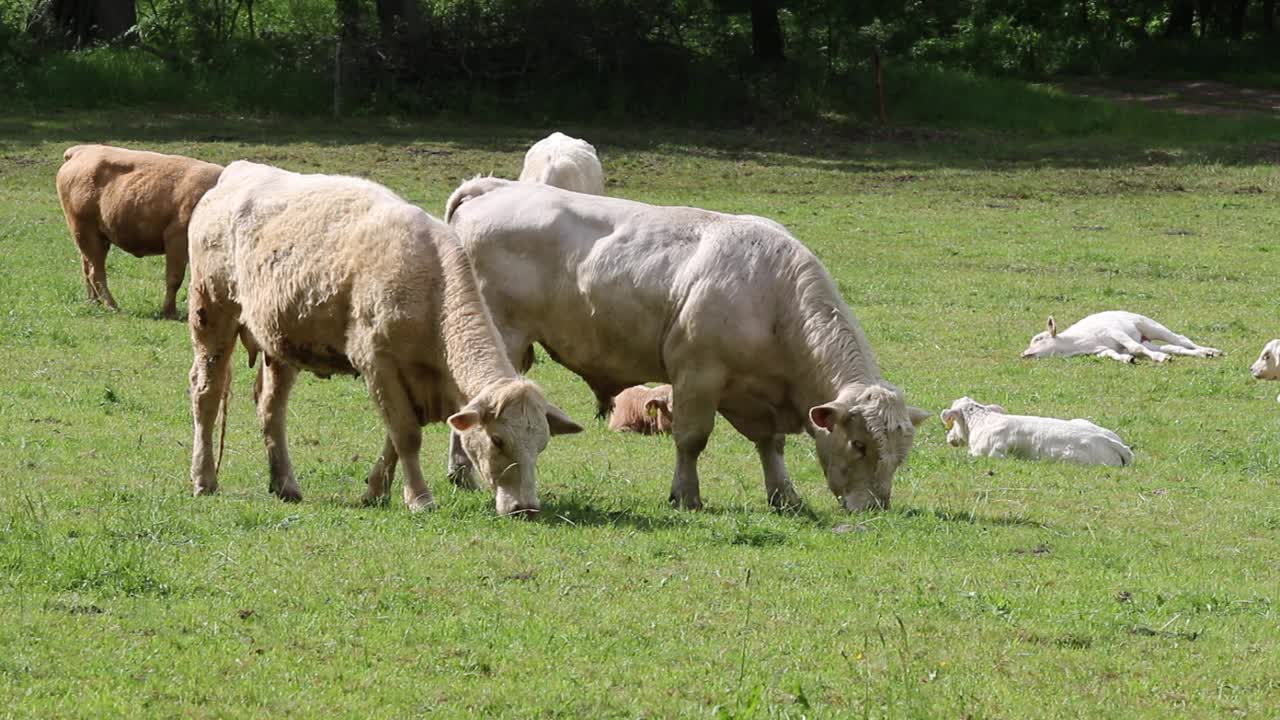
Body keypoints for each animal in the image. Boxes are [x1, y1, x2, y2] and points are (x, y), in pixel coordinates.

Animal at [185, 161, 581, 515]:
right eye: (498, 439)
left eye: (541, 444)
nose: (525, 508)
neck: (431, 286)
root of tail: (236, 171)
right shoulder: (378, 364)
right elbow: (406, 434)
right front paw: (420, 499)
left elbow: (394, 437)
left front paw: (377, 491)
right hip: (212, 313)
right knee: (206, 393)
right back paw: (204, 479)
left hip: (279, 342)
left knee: (271, 407)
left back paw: (285, 484)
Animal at [445, 176, 926, 509]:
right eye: (859, 445)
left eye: (901, 455)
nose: (877, 508)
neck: (772, 296)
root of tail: (492, 186)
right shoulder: (697, 373)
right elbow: (692, 439)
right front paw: (686, 495)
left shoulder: (754, 393)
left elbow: (770, 444)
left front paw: (784, 496)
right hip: (501, 337)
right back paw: (462, 473)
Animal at [1018, 310, 1218, 363]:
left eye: (1039, 339)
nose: (1023, 354)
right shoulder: (1101, 350)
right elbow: (1112, 354)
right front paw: (1126, 359)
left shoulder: (1114, 332)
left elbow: (1135, 348)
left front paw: (1159, 358)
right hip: (1147, 339)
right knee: (1174, 347)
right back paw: (1203, 354)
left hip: (1150, 325)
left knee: (1180, 339)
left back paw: (1211, 350)